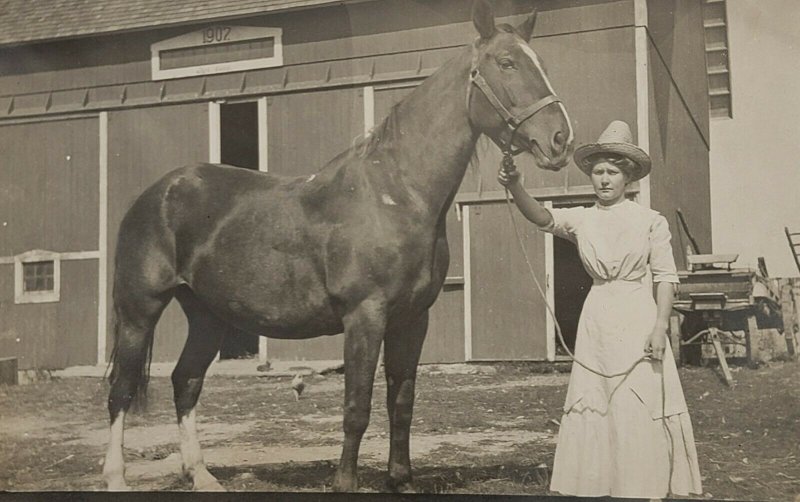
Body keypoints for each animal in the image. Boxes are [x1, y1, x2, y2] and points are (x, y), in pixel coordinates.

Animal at [103, 0, 572, 492]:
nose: (560, 139)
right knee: (120, 389)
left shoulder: (413, 320)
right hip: (139, 311)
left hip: (207, 314)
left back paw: (202, 475)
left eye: (541, 63)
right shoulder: (364, 317)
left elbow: (402, 403)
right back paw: (116, 477)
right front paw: (344, 482)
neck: (396, 194)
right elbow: (357, 407)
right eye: (507, 63)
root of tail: (160, 191)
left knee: (186, 381)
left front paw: (401, 480)